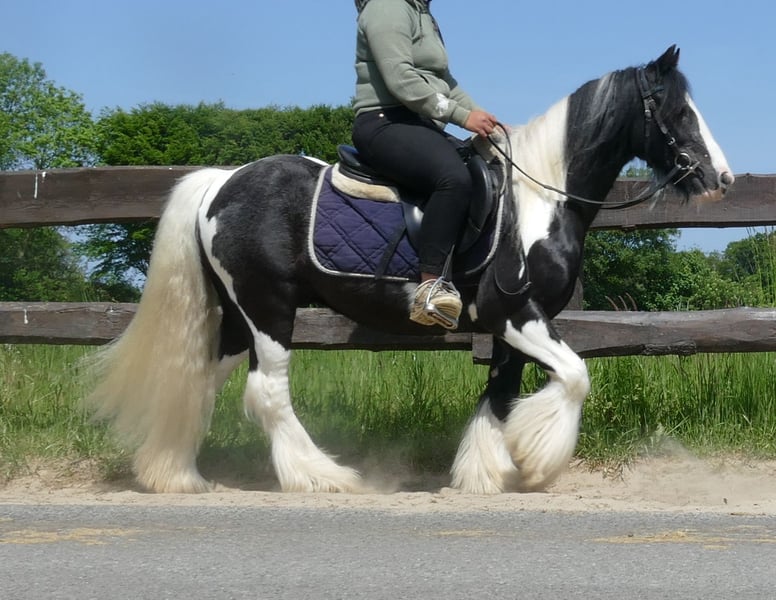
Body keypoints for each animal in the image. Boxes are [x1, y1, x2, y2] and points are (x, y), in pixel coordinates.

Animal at [87, 46, 734, 494]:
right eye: (678, 110)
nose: (721, 179)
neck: (539, 199)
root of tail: (220, 184)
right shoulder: (515, 312)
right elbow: (575, 377)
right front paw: (534, 459)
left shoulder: (512, 326)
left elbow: (499, 395)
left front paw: (484, 472)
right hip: (269, 308)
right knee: (268, 393)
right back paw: (320, 476)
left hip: (237, 316)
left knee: (199, 380)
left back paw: (175, 476)